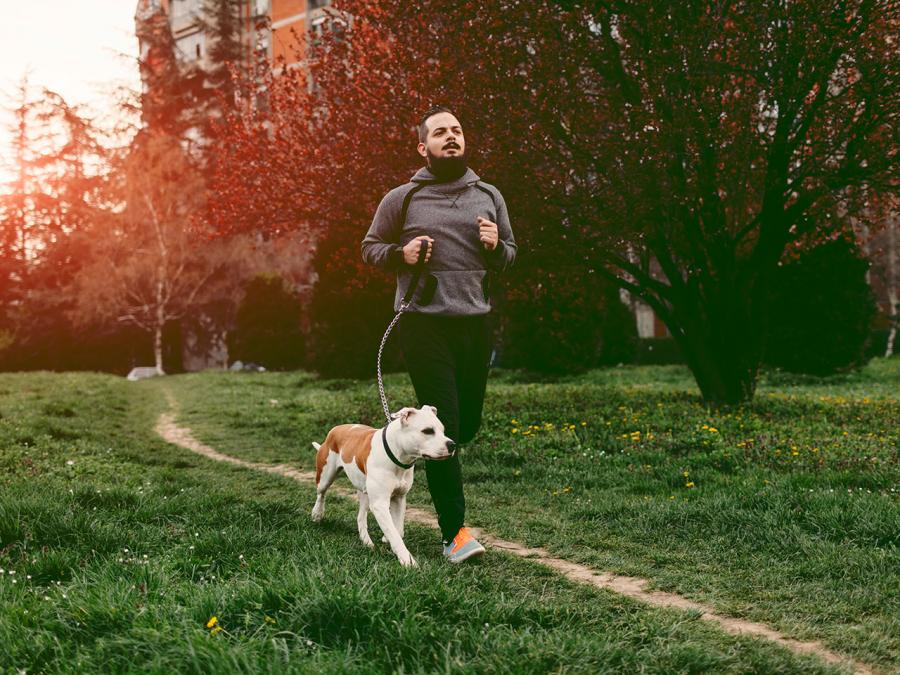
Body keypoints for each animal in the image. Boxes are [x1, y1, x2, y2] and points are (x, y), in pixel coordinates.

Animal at [312, 406, 458, 572]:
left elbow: (397, 529)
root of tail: (336, 429)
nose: (452, 444)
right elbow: (395, 534)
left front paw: (387, 538)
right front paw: (408, 560)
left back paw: (366, 541)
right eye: (427, 431)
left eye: (443, 430)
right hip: (326, 475)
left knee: (361, 516)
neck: (398, 456)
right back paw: (317, 513)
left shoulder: (399, 498)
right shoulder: (380, 504)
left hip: (365, 492)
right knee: (321, 493)